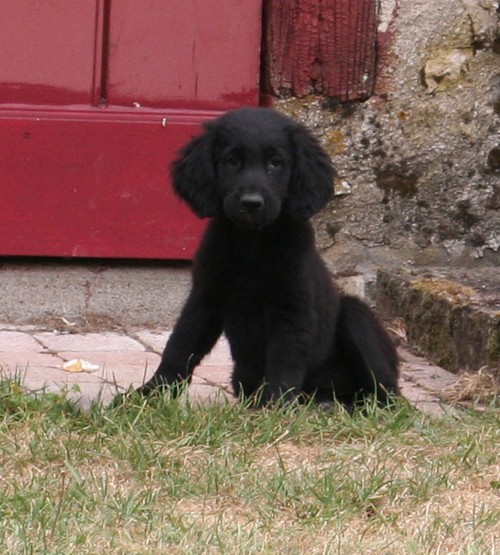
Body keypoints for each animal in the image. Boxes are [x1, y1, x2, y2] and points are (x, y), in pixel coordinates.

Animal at [137, 107, 399, 407]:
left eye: (276, 163)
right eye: (232, 161)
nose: (252, 203)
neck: (252, 245)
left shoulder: (291, 309)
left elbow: (284, 362)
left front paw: (273, 408)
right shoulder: (205, 297)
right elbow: (181, 346)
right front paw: (148, 394)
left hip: (357, 318)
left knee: (387, 394)